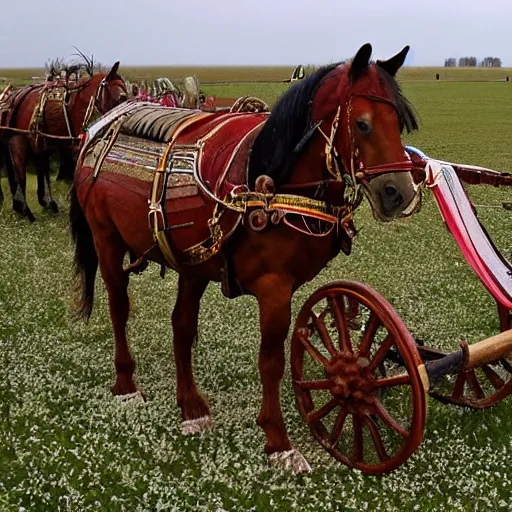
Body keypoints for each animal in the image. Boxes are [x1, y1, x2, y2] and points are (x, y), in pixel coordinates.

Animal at [0, 61, 127, 221]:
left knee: (37, 168)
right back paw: (25, 210)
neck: (77, 105)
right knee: (20, 173)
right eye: (120, 97)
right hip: (19, 142)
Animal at [69, 43, 420, 472]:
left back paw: (191, 405)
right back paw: (126, 385)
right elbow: (271, 362)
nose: (399, 192)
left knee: (181, 325)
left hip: (192, 263)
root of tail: (98, 128)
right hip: (106, 239)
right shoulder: (274, 289)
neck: (272, 182)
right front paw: (278, 441)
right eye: (363, 124)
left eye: (399, 122)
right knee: (119, 307)